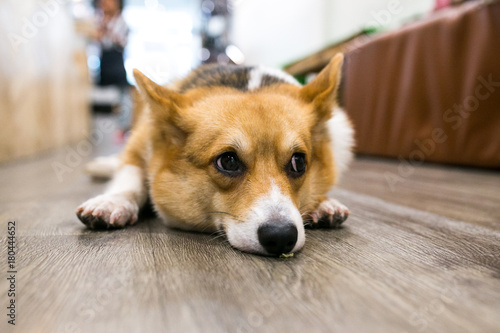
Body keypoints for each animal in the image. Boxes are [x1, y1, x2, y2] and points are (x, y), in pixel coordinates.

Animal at [76, 53, 354, 255]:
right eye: (228, 161)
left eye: (298, 162)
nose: (281, 236)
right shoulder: (139, 147)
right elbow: (130, 177)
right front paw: (113, 201)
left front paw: (324, 203)